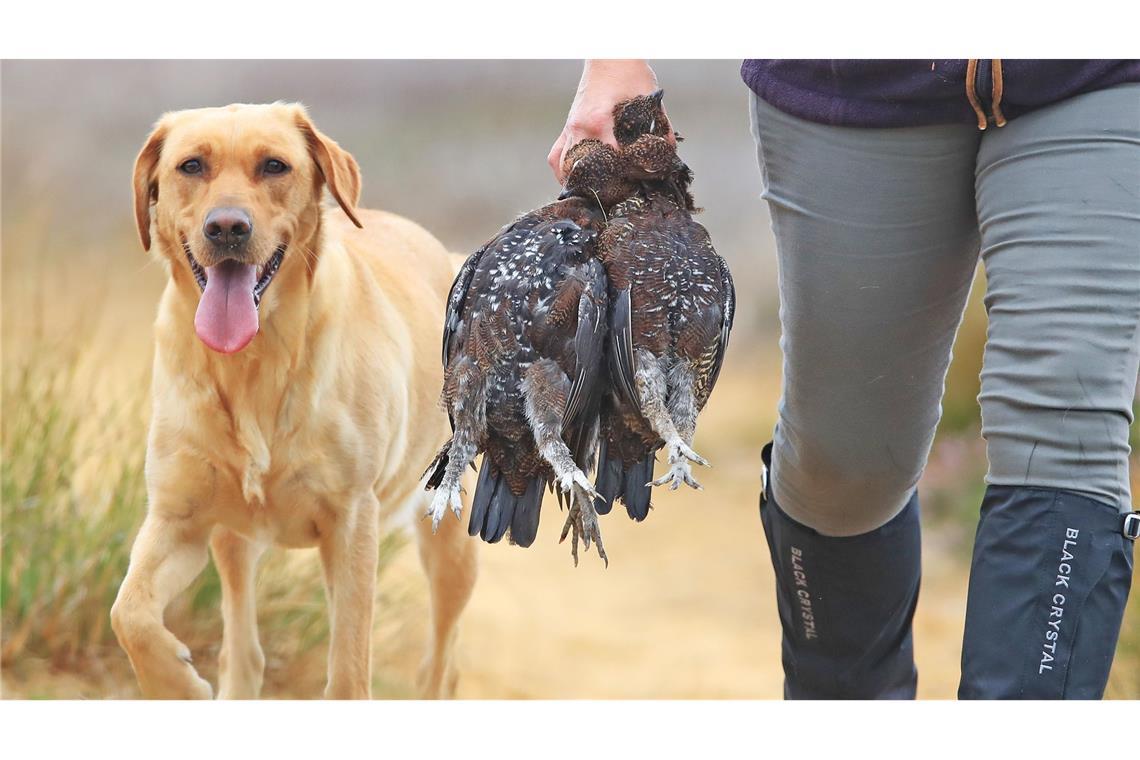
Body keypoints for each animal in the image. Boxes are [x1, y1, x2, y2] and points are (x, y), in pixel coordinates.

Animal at [111, 104, 476, 697]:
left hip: (449, 542)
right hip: (233, 539)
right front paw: (178, 685)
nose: (227, 227)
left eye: (274, 165)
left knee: (439, 667)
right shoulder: (178, 518)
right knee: (244, 652)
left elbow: (348, 675)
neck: (253, 364)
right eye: (191, 165)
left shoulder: (351, 523)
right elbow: (129, 614)